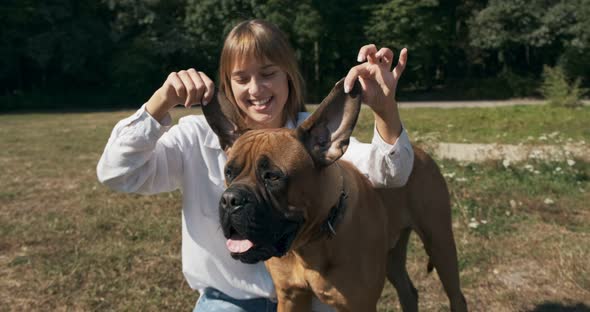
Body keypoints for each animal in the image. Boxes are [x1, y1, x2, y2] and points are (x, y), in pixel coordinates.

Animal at [206, 79, 470, 310]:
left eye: (272, 177)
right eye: (229, 172)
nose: (230, 200)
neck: (309, 244)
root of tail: (418, 152)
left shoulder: (358, 304)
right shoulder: (291, 297)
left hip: (440, 243)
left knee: (456, 295)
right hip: (393, 255)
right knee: (408, 292)